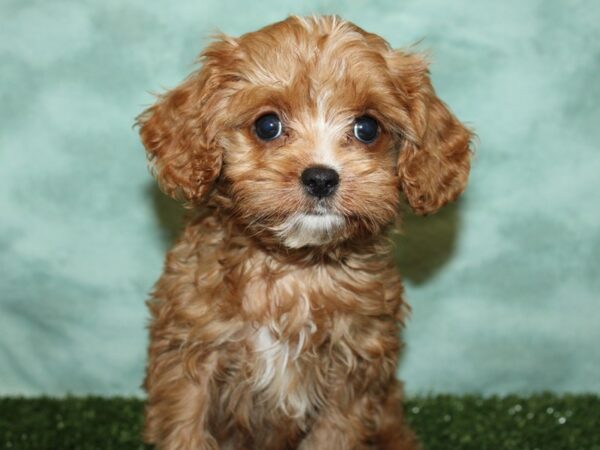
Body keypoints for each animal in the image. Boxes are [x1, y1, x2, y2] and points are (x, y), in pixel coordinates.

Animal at [137, 14, 474, 450]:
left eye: (367, 128)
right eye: (267, 125)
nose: (320, 178)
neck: (294, 267)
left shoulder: (354, 369)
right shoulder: (190, 355)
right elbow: (185, 430)